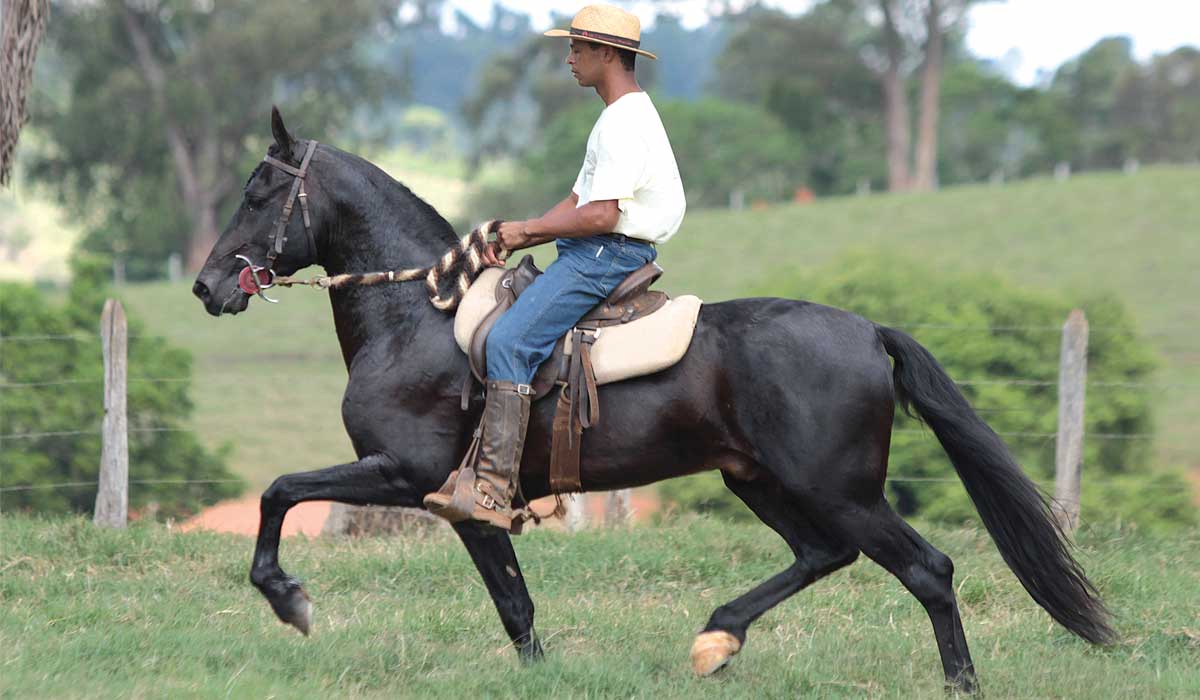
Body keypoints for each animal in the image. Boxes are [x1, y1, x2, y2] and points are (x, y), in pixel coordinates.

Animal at [192, 112, 1108, 691]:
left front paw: (290, 600)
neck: (422, 315)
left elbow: (278, 492)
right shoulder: (463, 503)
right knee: (824, 555)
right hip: (761, 481)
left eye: (258, 194)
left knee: (927, 569)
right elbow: (515, 603)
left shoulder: (403, 472)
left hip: (838, 490)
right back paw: (716, 639)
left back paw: (956, 680)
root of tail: (867, 331)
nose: (206, 287)